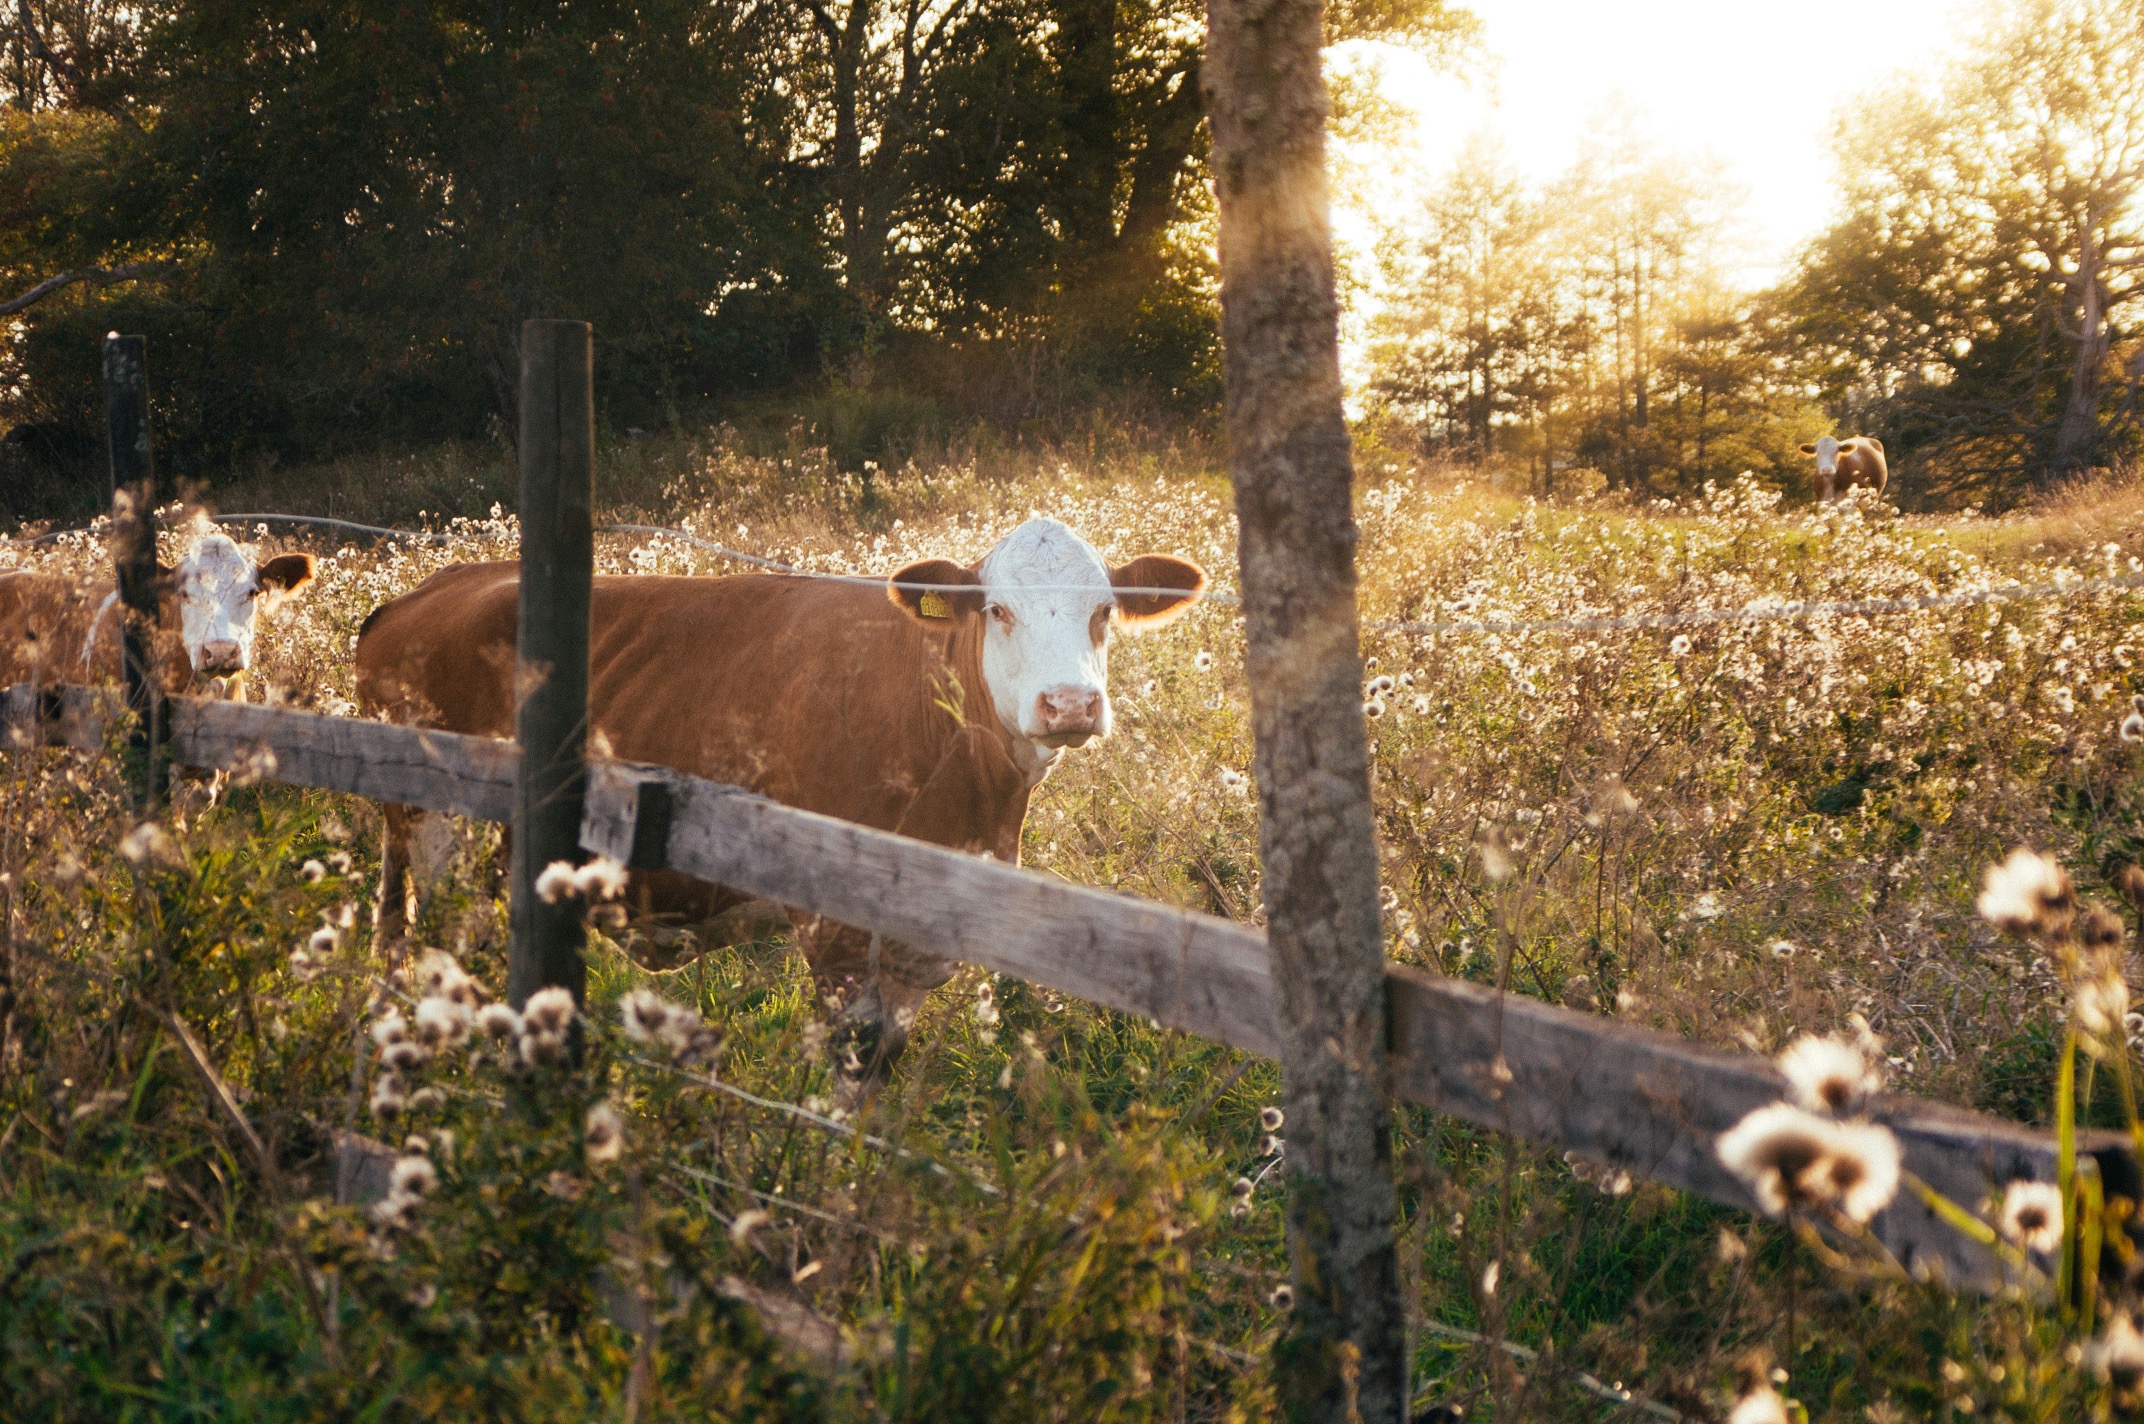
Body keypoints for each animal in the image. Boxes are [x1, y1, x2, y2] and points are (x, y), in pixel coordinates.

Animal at [351, 516, 1209, 1085]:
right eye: (998, 611)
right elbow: (850, 1065)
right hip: (439, 836)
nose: (1069, 705)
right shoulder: (835, 930)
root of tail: (431, 587)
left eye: (1105, 611)